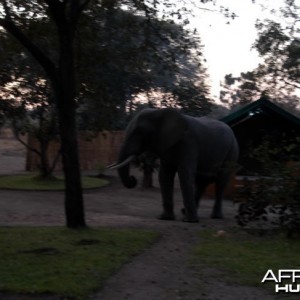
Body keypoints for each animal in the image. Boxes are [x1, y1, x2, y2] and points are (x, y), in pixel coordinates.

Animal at [109, 108, 238, 223]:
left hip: (231, 152)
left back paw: (215, 216)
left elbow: (185, 174)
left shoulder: (188, 143)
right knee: (201, 183)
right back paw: (185, 212)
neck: (159, 112)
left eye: (140, 132)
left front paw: (189, 221)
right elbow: (165, 175)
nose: (133, 179)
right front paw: (165, 218)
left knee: (220, 182)